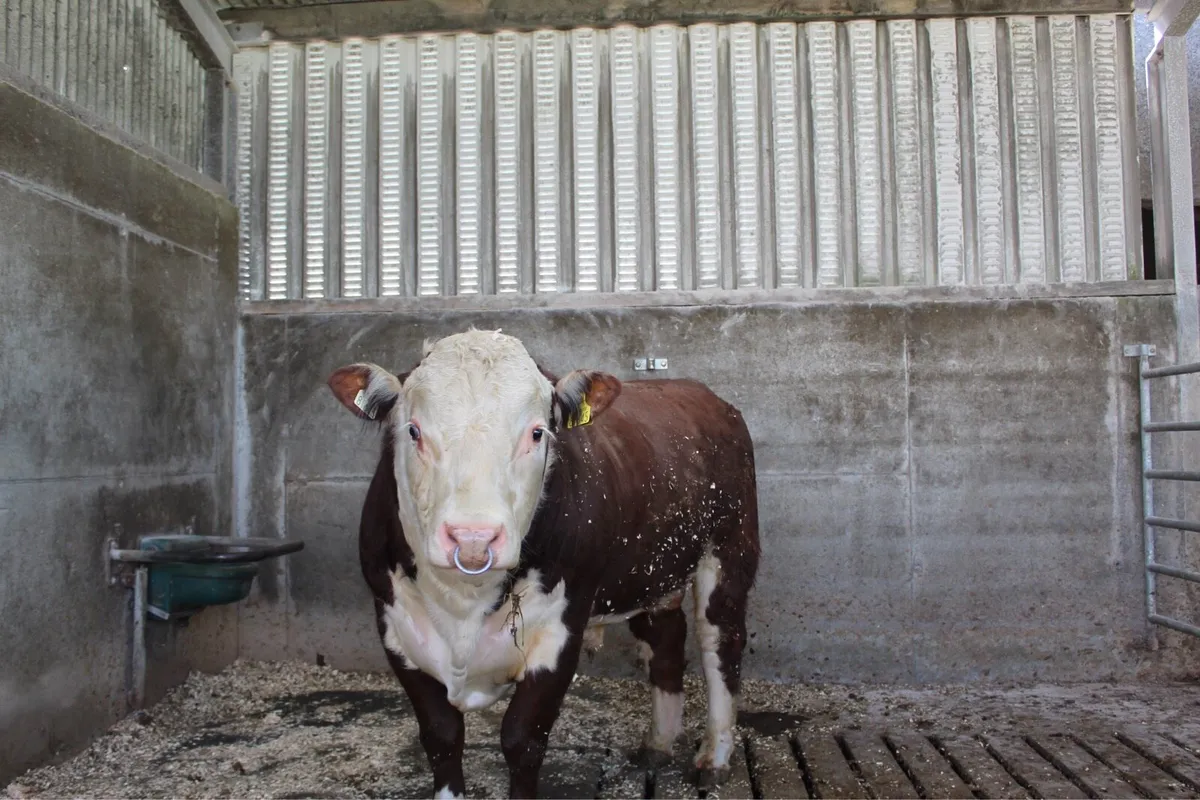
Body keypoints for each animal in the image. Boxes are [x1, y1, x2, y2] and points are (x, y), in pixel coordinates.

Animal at [327, 329, 760, 799]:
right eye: (413, 431)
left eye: (537, 433)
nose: (473, 537)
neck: (463, 605)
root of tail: (699, 392)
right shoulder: (396, 629)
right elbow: (442, 737)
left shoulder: (560, 630)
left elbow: (523, 739)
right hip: (651, 572)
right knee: (665, 642)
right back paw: (657, 744)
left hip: (731, 550)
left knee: (720, 645)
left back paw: (714, 756)